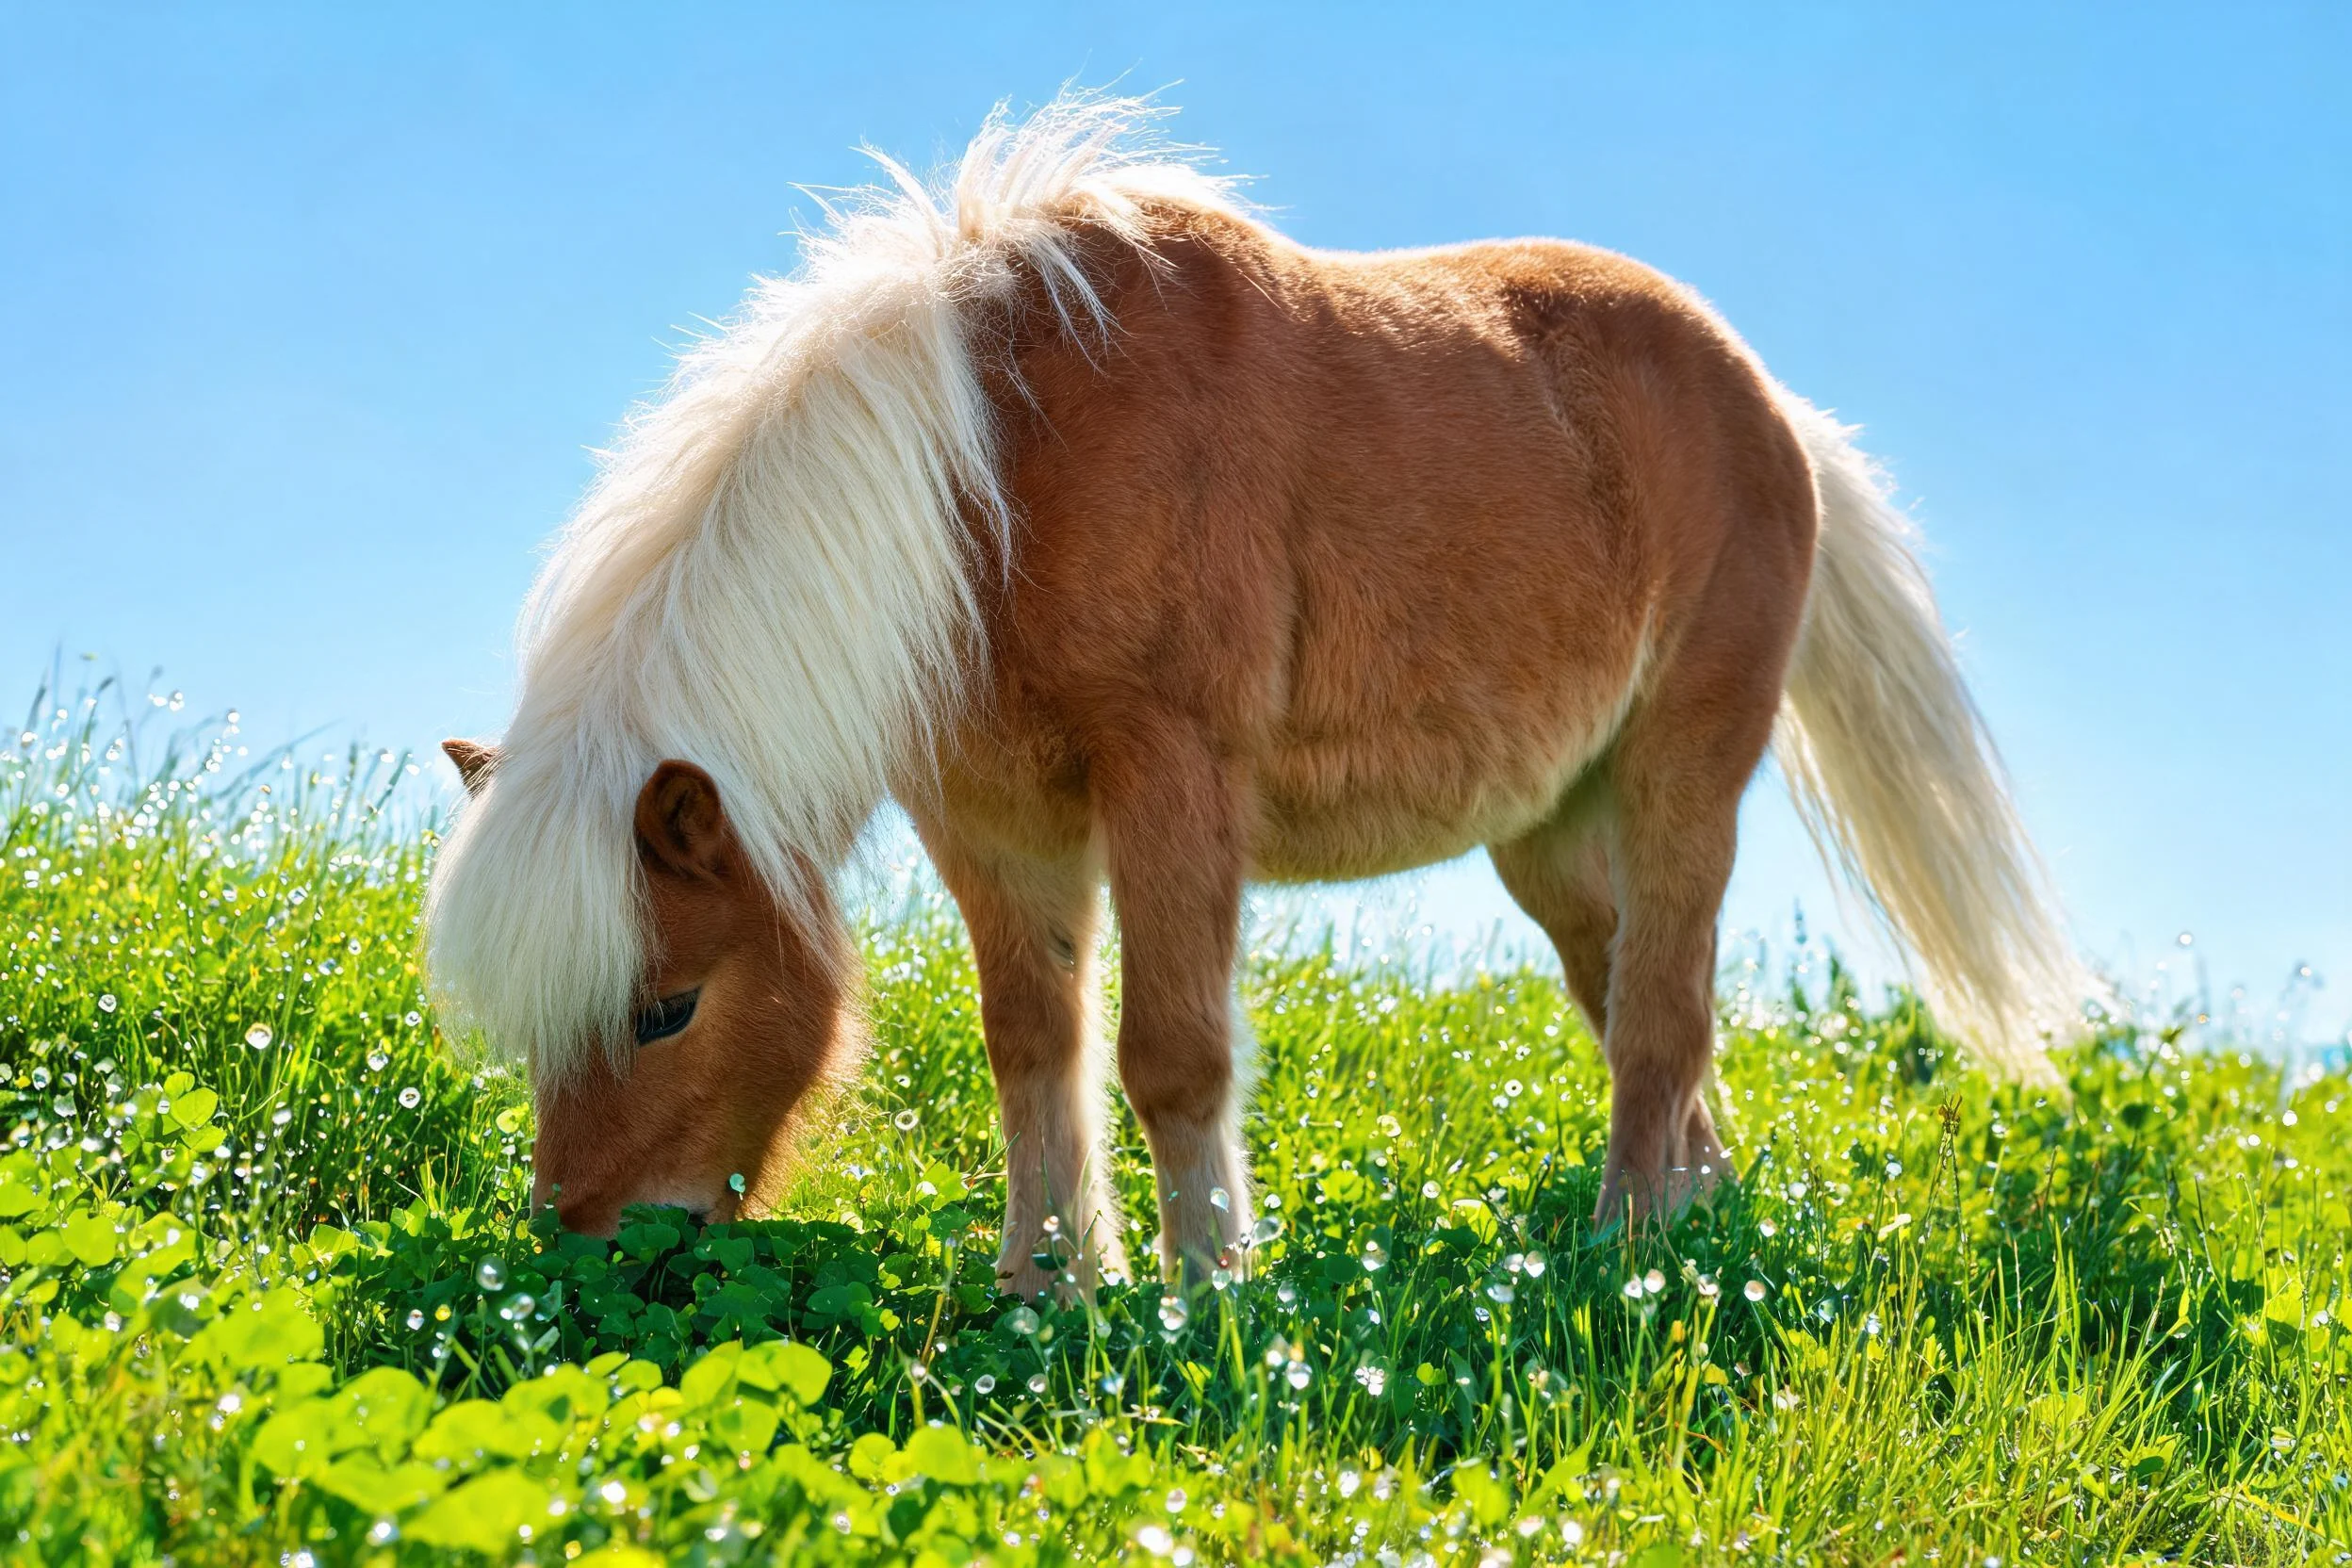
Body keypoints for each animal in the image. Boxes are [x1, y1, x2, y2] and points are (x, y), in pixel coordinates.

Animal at [426, 95, 2082, 1300]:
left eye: (666, 1008)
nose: (583, 1251)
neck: (997, 468)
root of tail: (1773, 406)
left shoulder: (1171, 775)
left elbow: (1173, 1053)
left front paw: (1207, 1291)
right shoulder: (993, 823)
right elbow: (1034, 1047)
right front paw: (1046, 1289)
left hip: (1686, 773)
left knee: (1662, 1025)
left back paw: (1628, 1264)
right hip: (1552, 835)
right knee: (1636, 1013)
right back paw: (1705, 1228)